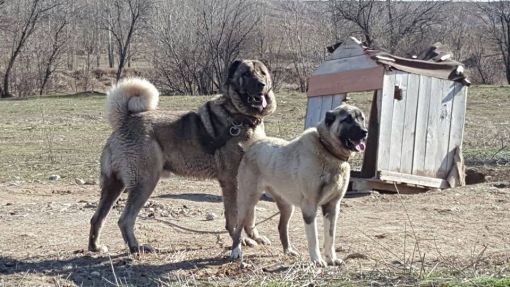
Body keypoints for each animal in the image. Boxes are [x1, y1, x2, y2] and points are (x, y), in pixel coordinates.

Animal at [89, 59, 276, 253]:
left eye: (262, 73)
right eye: (245, 74)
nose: (261, 85)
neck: (244, 119)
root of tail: (125, 119)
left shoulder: (249, 181)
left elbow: (250, 215)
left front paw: (254, 237)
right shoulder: (231, 182)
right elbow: (234, 217)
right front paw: (238, 242)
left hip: (114, 186)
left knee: (97, 218)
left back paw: (95, 247)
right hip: (145, 182)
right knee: (125, 219)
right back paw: (136, 248)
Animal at [231, 104, 366, 266]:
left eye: (362, 119)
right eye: (347, 119)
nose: (365, 132)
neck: (327, 150)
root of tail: (256, 143)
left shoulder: (332, 208)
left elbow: (330, 238)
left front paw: (331, 258)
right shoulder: (309, 208)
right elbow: (313, 238)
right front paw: (317, 260)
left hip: (288, 207)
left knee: (281, 227)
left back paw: (288, 250)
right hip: (247, 201)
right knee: (238, 227)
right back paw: (235, 251)